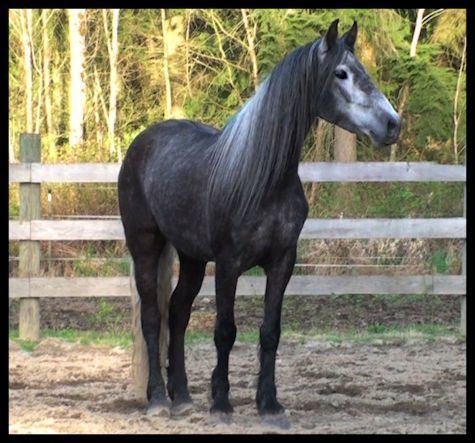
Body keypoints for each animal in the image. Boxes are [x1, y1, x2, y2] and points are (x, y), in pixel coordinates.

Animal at [119, 19, 402, 428]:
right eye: (341, 73)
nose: (392, 124)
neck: (264, 178)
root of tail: (142, 143)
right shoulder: (228, 265)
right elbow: (225, 331)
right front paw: (222, 403)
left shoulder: (282, 262)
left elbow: (270, 332)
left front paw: (269, 404)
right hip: (145, 246)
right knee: (153, 317)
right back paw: (158, 398)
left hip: (191, 257)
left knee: (178, 312)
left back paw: (183, 396)